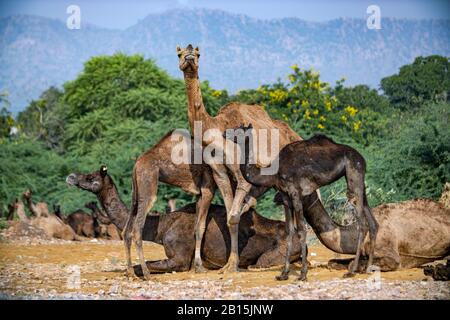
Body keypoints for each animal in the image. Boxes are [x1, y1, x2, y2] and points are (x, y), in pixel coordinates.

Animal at [66, 166, 306, 274]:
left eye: (90, 177)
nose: (71, 176)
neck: (162, 228)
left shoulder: (180, 259)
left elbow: (142, 267)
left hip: (272, 254)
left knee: (263, 262)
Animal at [177, 43, 302, 272]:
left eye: (198, 53)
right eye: (179, 52)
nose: (189, 55)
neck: (216, 129)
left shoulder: (242, 172)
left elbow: (234, 216)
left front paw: (232, 265)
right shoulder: (219, 173)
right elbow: (229, 217)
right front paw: (229, 263)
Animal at [225, 125, 380, 280]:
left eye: (239, 130)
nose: (225, 133)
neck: (274, 172)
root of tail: (362, 158)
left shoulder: (296, 194)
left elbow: (301, 230)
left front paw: (303, 274)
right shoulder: (286, 198)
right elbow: (289, 231)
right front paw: (284, 274)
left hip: (353, 175)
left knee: (362, 223)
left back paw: (351, 271)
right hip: (359, 183)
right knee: (373, 223)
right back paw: (368, 268)